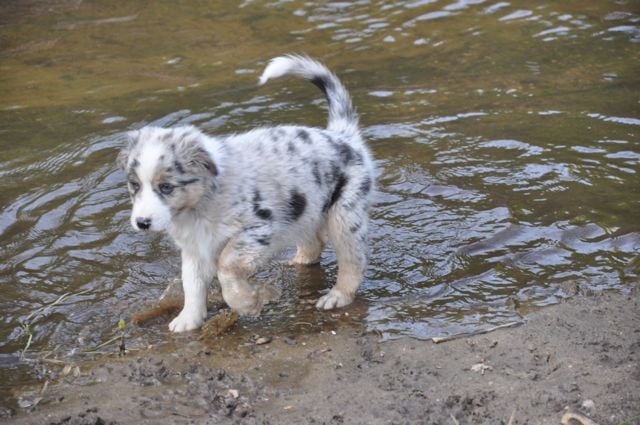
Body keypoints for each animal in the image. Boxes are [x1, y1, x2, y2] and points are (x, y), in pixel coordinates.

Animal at [119, 53, 376, 332]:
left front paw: (246, 304)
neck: (198, 206)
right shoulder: (196, 246)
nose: (142, 222)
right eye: (135, 185)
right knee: (314, 241)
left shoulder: (257, 228)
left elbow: (226, 266)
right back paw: (298, 262)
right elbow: (192, 282)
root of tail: (342, 135)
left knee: (353, 260)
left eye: (166, 187)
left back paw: (337, 296)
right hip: (305, 209)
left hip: (344, 215)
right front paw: (188, 319)